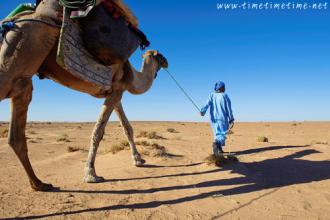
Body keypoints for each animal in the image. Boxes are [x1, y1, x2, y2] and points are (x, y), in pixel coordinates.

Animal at [0, 0, 169, 191]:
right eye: (160, 56)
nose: (167, 62)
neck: (133, 76)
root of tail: (16, 20)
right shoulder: (117, 90)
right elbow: (99, 131)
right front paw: (91, 174)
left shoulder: (115, 93)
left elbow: (127, 128)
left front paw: (138, 160)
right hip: (24, 47)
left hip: (23, 75)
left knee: (16, 132)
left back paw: (39, 183)